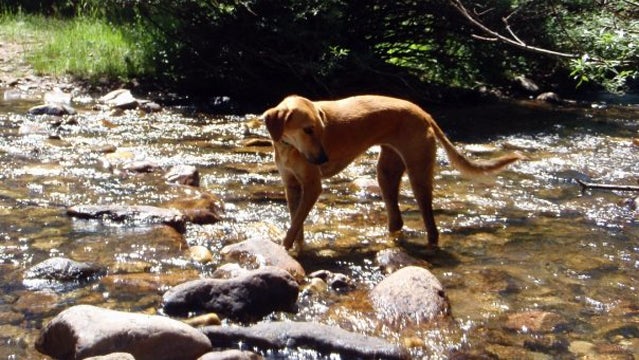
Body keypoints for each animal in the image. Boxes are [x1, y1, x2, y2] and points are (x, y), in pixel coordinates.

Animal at [262, 94, 524, 252]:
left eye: (321, 129)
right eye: (307, 130)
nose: (323, 160)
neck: (288, 145)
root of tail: (424, 113)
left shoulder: (312, 187)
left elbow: (294, 224)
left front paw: (285, 249)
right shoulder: (292, 186)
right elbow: (297, 224)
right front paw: (296, 248)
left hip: (418, 175)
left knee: (431, 226)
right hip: (386, 174)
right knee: (397, 220)